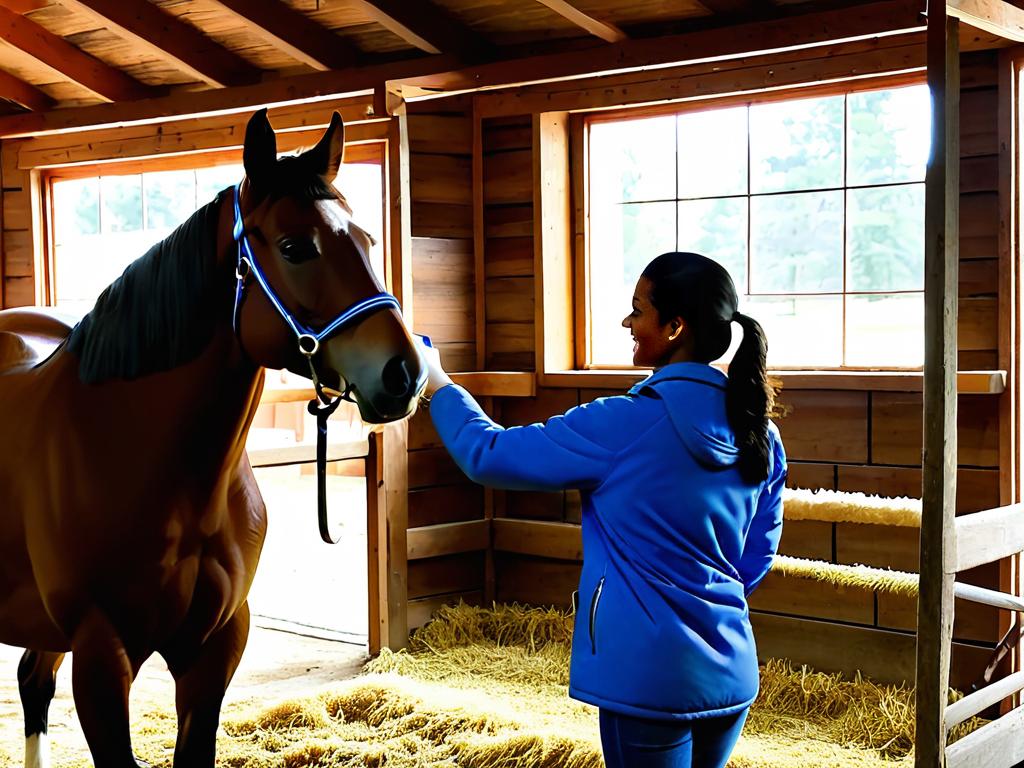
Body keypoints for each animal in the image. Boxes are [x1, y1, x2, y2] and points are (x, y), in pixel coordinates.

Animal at [0, 108, 423, 768]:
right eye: (295, 246)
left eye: (368, 240)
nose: (404, 372)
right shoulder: (100, 655)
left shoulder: (214, 648)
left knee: (32, 681)